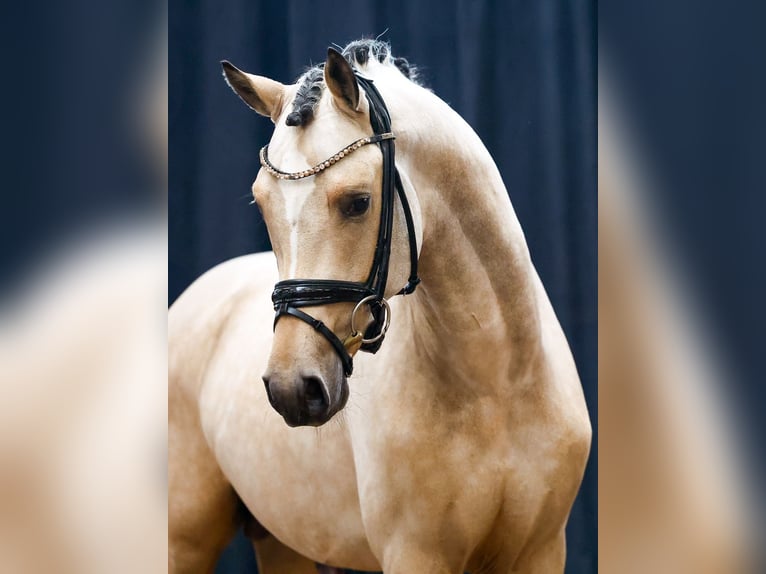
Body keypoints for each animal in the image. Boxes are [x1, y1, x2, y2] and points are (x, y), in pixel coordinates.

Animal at [170, 40, 592, 574]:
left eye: (358, 202)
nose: (292, 389)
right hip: (185, 539)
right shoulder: (416, 555)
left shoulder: (542, 551)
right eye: (261, 204)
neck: (497, 385)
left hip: (282, 539)